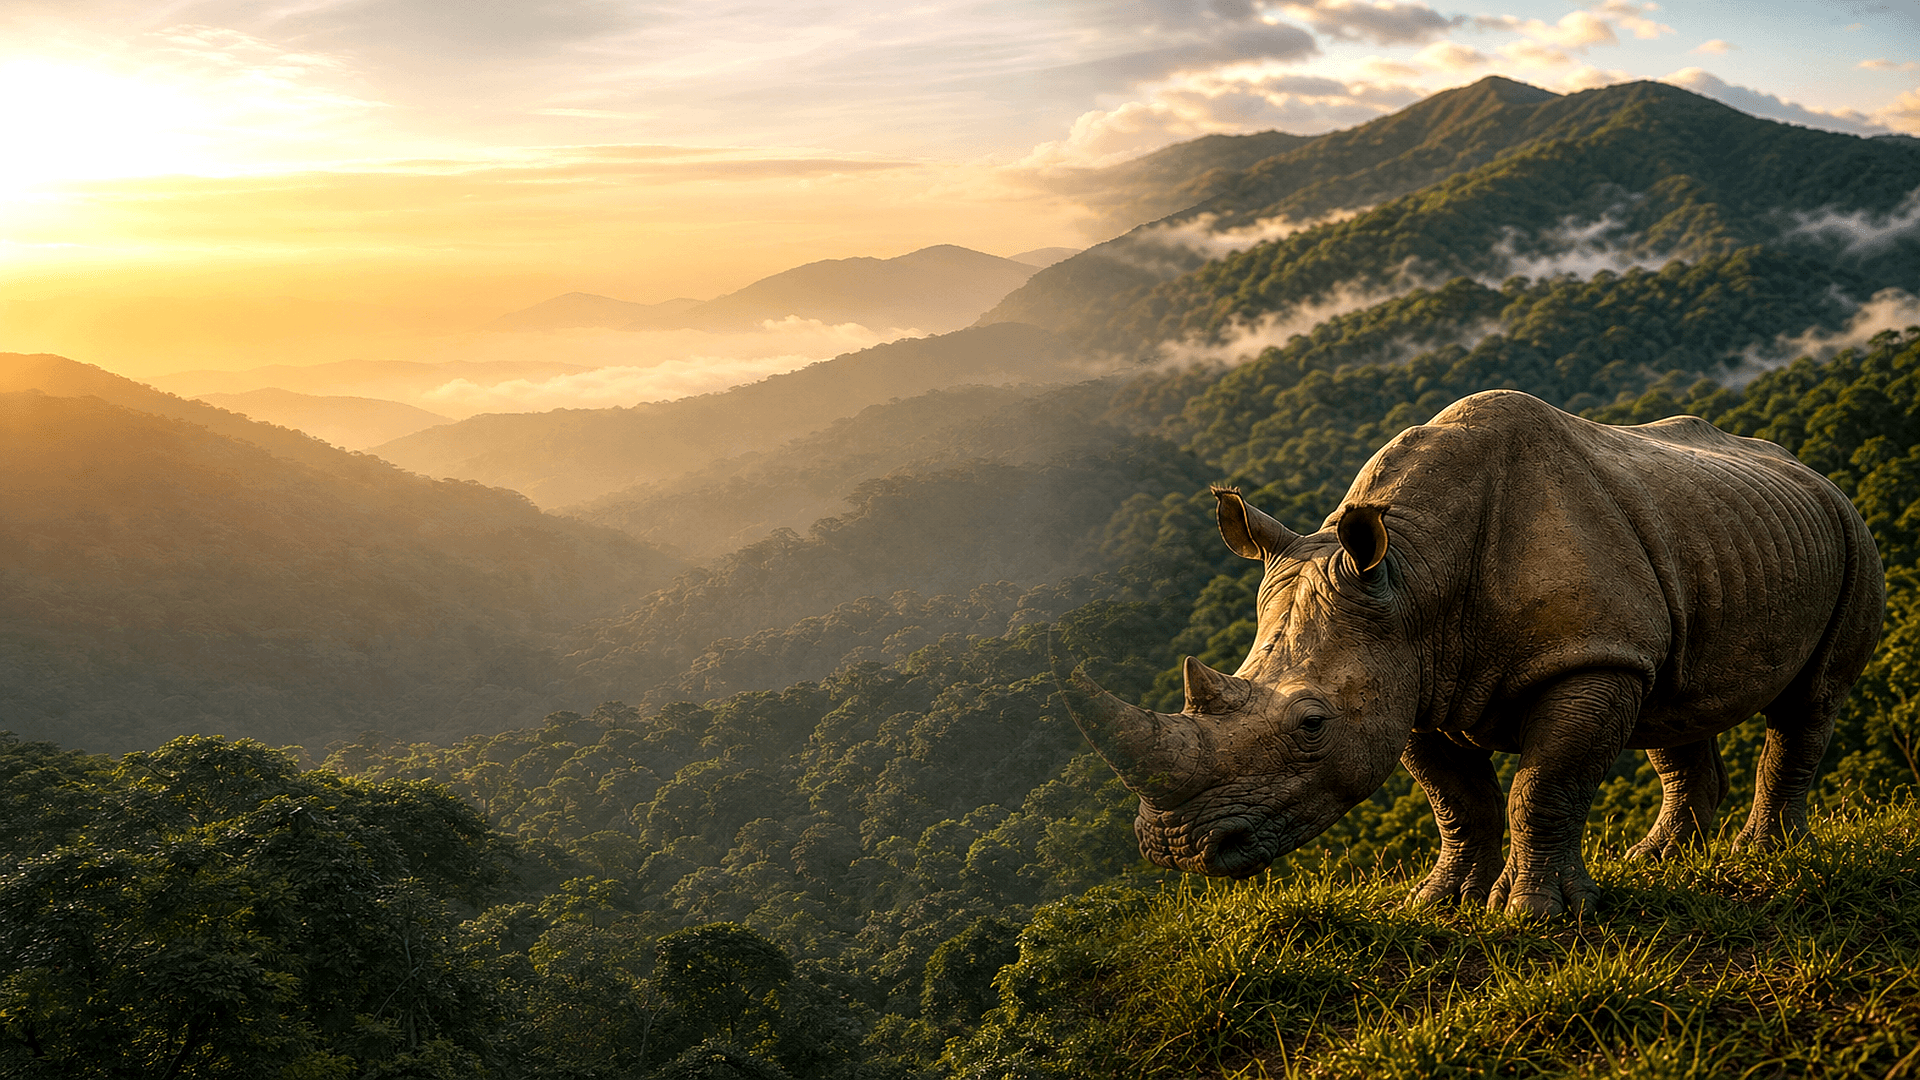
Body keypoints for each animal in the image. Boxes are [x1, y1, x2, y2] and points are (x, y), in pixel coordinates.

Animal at [1068, 389, 1884, 916]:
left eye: (1312, 724)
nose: (1176, 848)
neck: (1415, 572)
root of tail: (1808, 470)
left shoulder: (1587, 657)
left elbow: (1542, 786)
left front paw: (1539, 915)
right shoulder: (1409, 673)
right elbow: (1456, 798)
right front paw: (1442, 904)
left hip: (1852, 532)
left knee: (1809, 703)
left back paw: (1764, 854)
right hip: (1707, 548)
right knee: (1671, 701)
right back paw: (1659, 859)